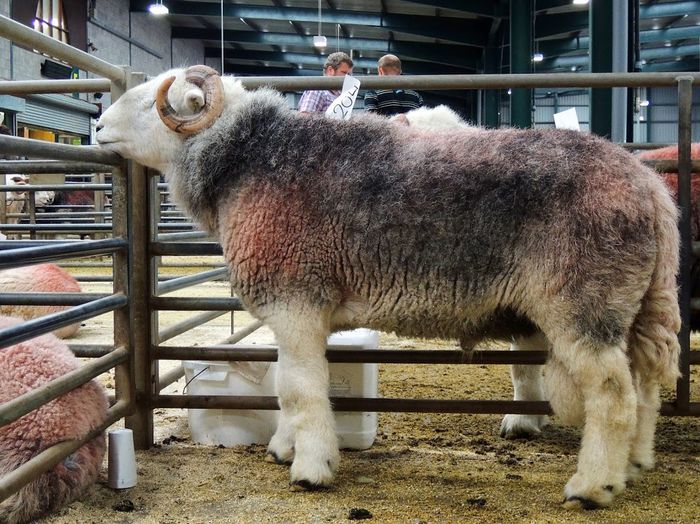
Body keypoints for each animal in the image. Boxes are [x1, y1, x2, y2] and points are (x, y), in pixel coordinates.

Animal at [93, 64, 680, 508]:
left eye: (150, 102)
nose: (97, 128)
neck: (247, 161)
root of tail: (649, 187)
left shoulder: (296, 300)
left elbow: (301, 390)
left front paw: (311, 467)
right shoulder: (296, 311)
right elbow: (288, 389)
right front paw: (285, 447)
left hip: (584, 302)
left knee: (612, 395)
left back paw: (593, 486)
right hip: (635, 303)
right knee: (645, 385)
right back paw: (632, 464)